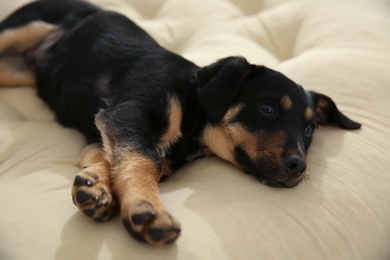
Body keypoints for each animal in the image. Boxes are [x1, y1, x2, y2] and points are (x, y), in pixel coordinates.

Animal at [0, 0, 362, 246]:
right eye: (268, 108)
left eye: (309, 129)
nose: (299, 166)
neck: (193, 111)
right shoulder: (127, 113)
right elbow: (144, 159)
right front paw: (147, 210)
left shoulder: (108, 132)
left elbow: (123, 159)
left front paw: (95, 186)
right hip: (23, 30)